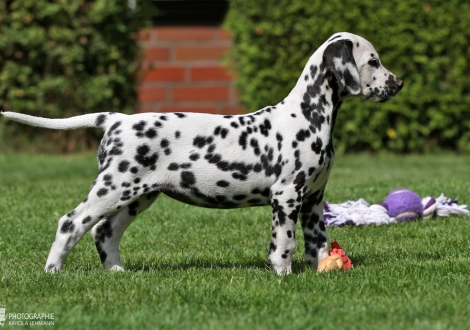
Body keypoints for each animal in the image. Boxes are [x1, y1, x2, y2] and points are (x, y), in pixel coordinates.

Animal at [0, 32, 404, 274]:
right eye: (374, 61)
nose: (399, 83)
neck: (306, 114)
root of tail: (116, 119)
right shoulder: (287, 196)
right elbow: (285, 243)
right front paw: (283, 275)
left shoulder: (315, 199)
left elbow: (317, 241)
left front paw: (322, 270)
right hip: (112, 188)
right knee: (72, 223)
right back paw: (53, 271)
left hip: (137, 197)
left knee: (105, 233)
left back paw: (117, 273)